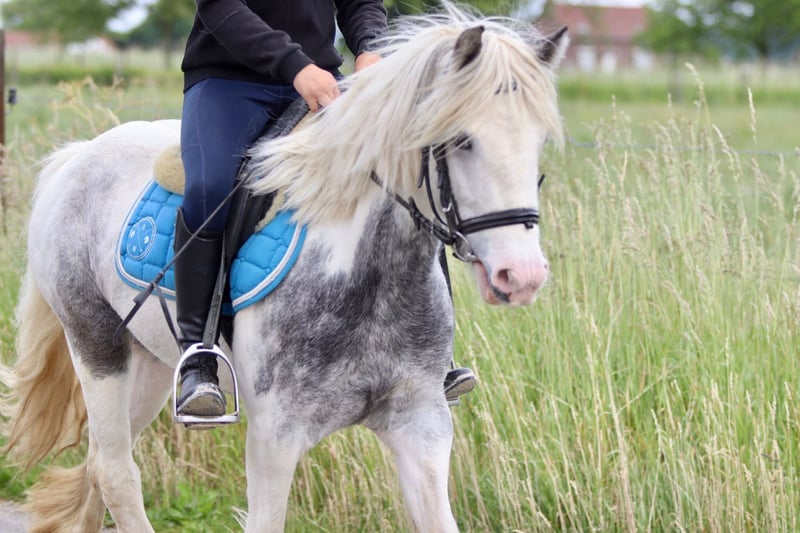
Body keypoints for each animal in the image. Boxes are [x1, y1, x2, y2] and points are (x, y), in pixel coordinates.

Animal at [1, 8, 567, 532]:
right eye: (460, 139)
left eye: (541, 139)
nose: (521, 275)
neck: (367, 277)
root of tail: (76, 157)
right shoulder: (275, 437)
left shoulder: (421, 425)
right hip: (98, 348)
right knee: (117, 471)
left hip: (152, 365)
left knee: (99, 463)